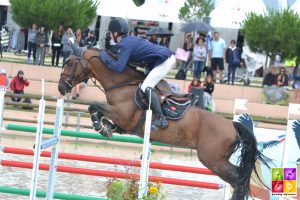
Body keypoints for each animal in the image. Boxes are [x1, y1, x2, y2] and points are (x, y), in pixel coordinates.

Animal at [58, 48, 270, 200]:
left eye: (70, 63)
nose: (61, 88)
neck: (121, 84)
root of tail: (232, 126)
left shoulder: (122, 115)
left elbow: (93, 106)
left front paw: (99, 125)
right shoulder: (124, 123)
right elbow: (99, 112)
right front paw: (105, 127)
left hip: (213, 160)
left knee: (239, 179)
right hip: (217, 161)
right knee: (239, 180)